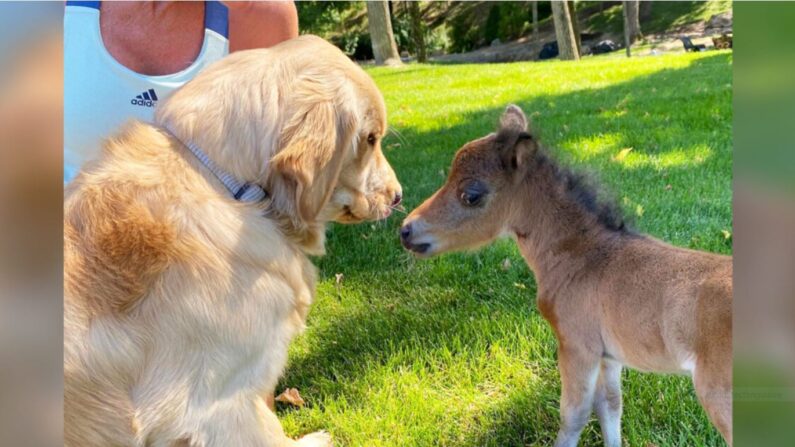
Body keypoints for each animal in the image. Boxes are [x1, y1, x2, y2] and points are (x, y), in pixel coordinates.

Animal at [404, 107, 732, 446]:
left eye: (471, 195)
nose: (406, 230)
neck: (582, 253)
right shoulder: (608, 355)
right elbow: (610, 404)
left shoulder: (576, 344)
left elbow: (574, 415)